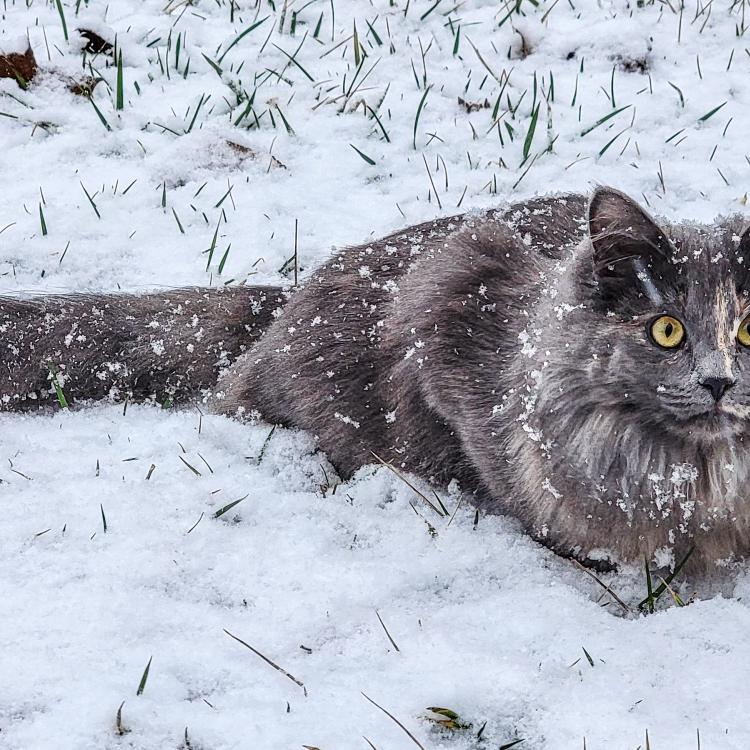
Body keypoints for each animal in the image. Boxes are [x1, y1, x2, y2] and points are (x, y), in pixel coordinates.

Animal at [1, 187, 750, 568]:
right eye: (667, 330)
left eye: (745, 331)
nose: (719, 382)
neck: (706, 480)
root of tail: (289, 298)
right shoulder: (453, 294)